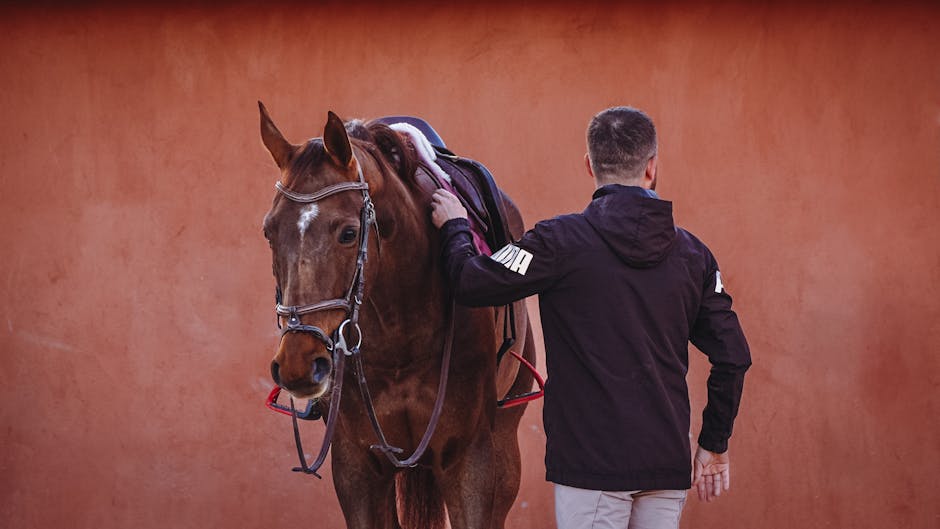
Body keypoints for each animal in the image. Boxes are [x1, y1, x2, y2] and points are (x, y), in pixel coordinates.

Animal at [259, 102, 537, 529]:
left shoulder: (471, 459)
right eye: (269, 232)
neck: (399, 334)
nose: (298, 364)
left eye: (348, 233)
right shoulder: (356, 465)